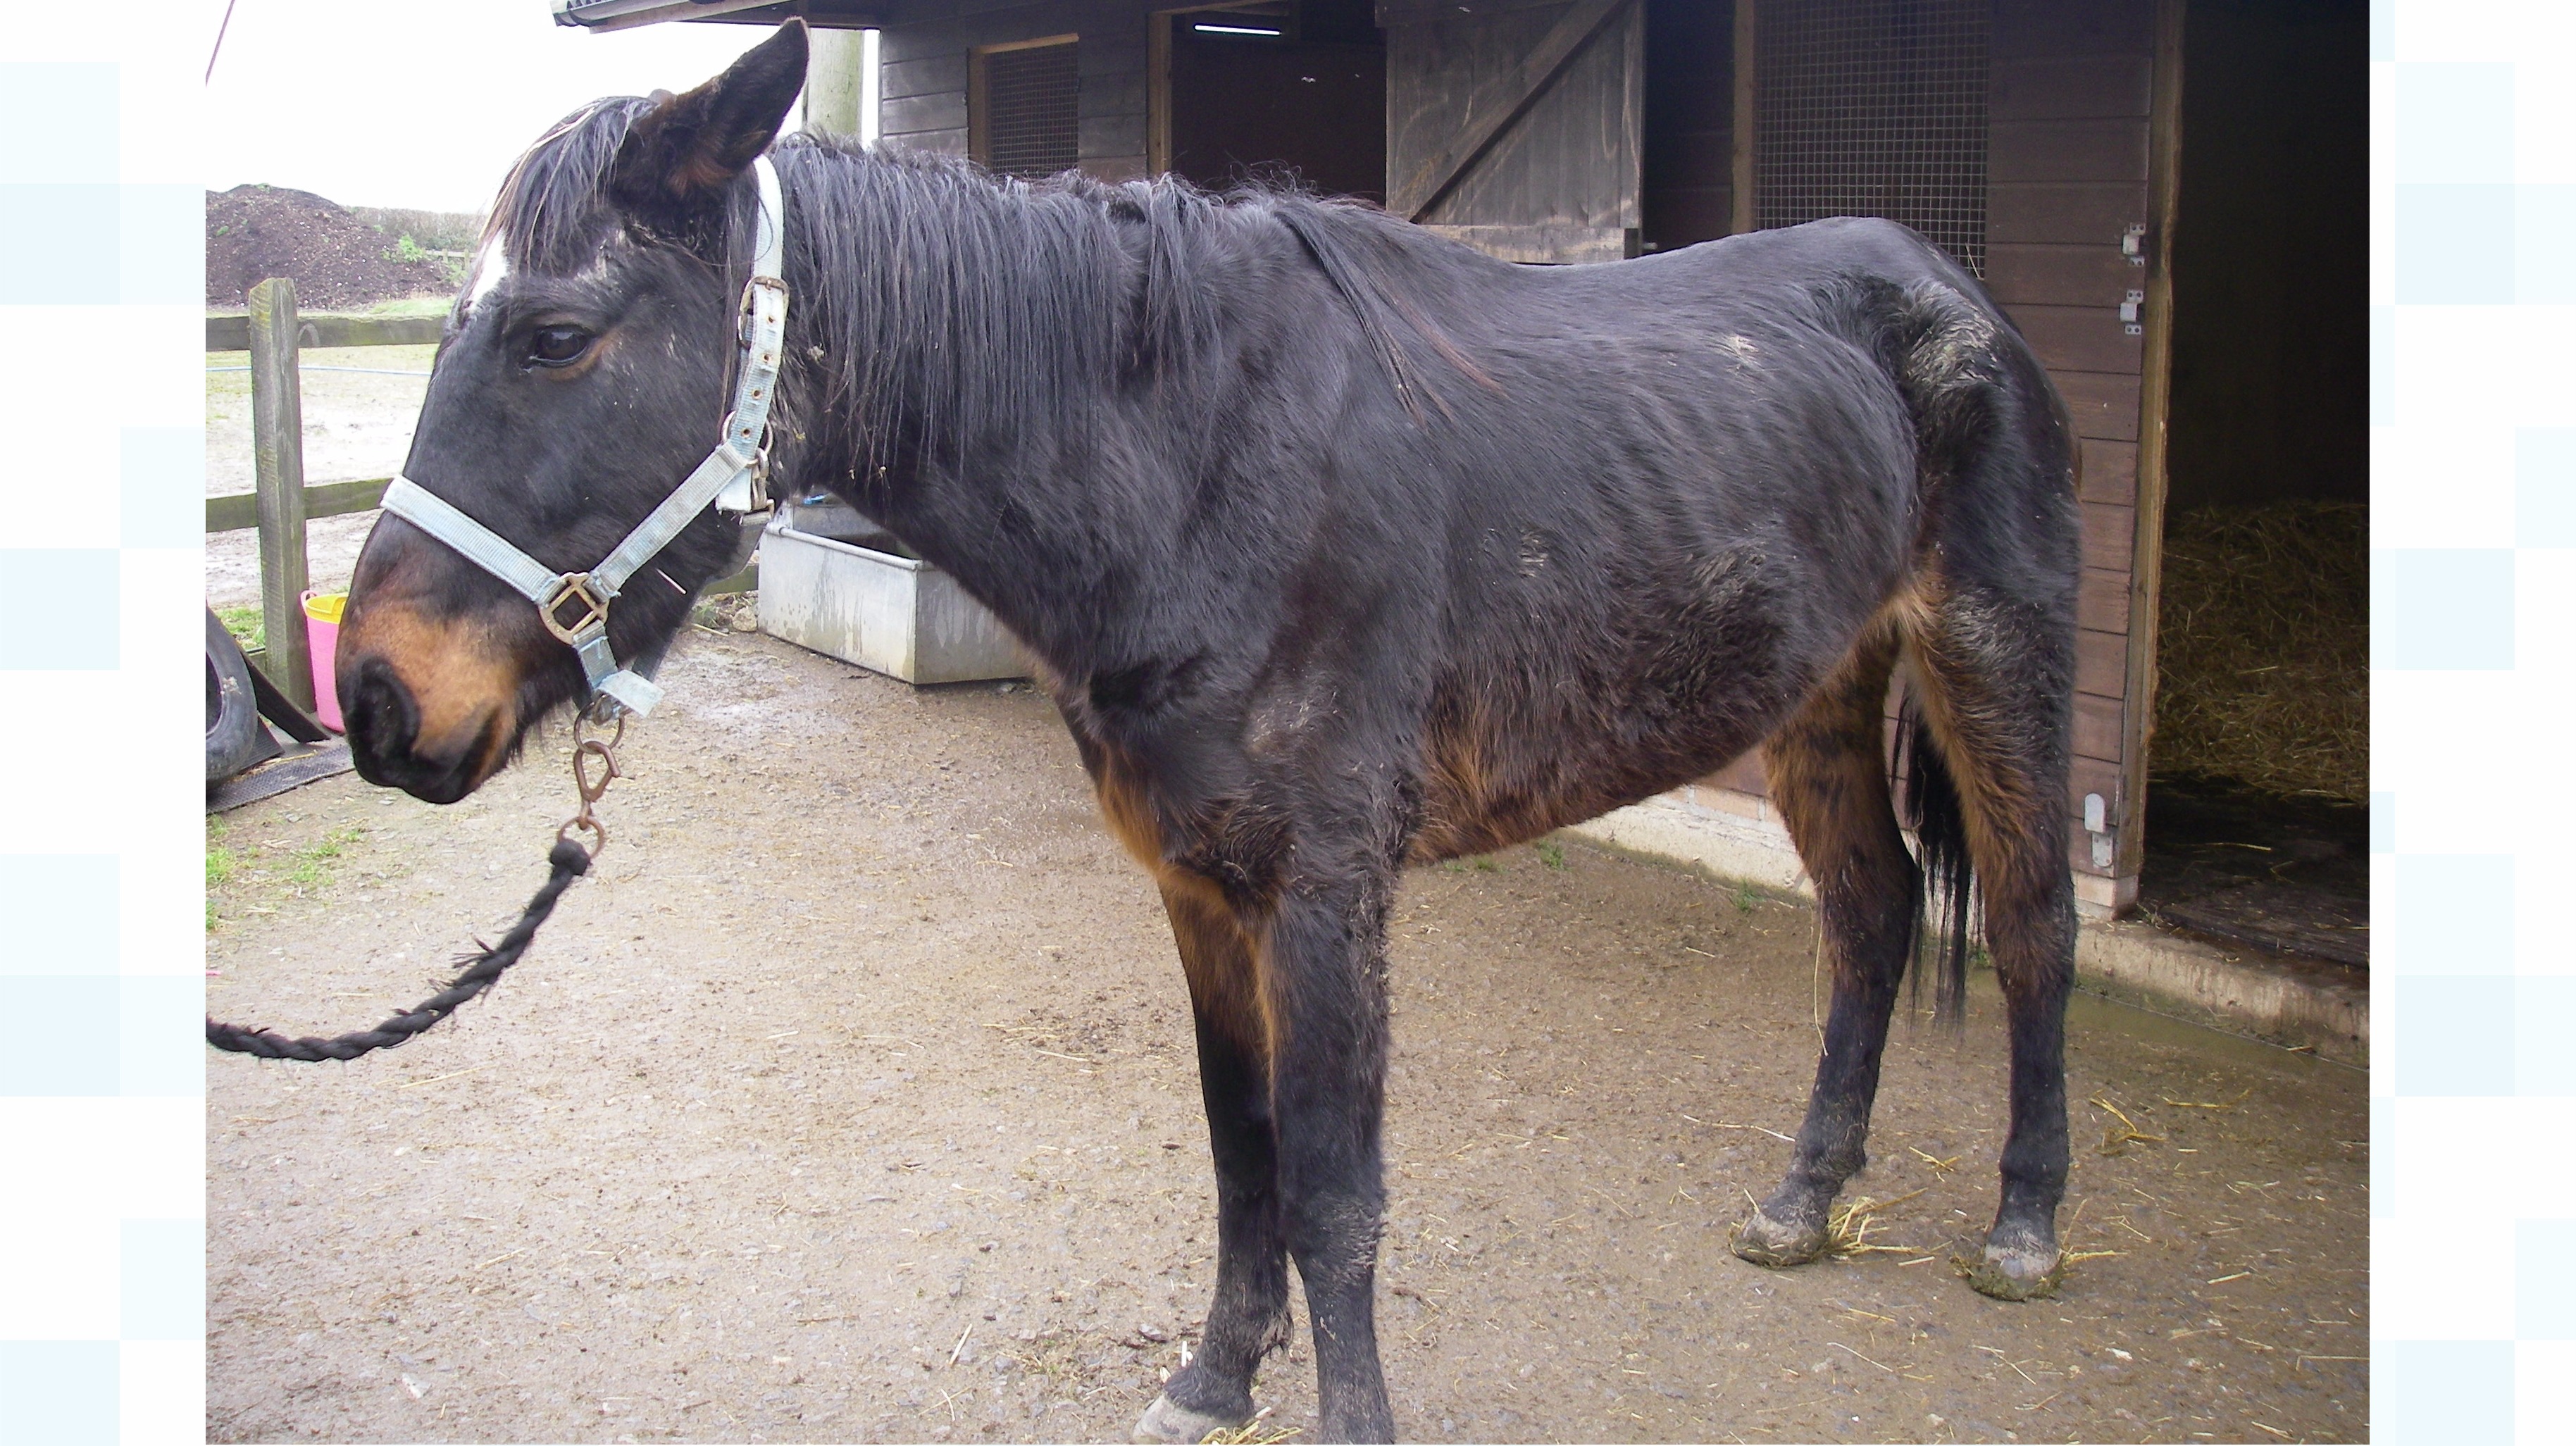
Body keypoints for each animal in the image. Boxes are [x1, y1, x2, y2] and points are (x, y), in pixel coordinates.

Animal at [337, 21, 2080, 1442]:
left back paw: (2023, 1229)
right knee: (1868, 916)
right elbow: (1240, 1156)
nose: (375, 699)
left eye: (555, 335)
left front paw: (1345, 1422)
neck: (1198, 462)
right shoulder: (1194, 885)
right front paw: (1213, 1381)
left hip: (1997, 666)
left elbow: (1333, 1191)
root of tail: (1950, 291)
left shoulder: (1325, 894)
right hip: (1818, 698)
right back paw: (1801, 1201)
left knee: (2030, 924)